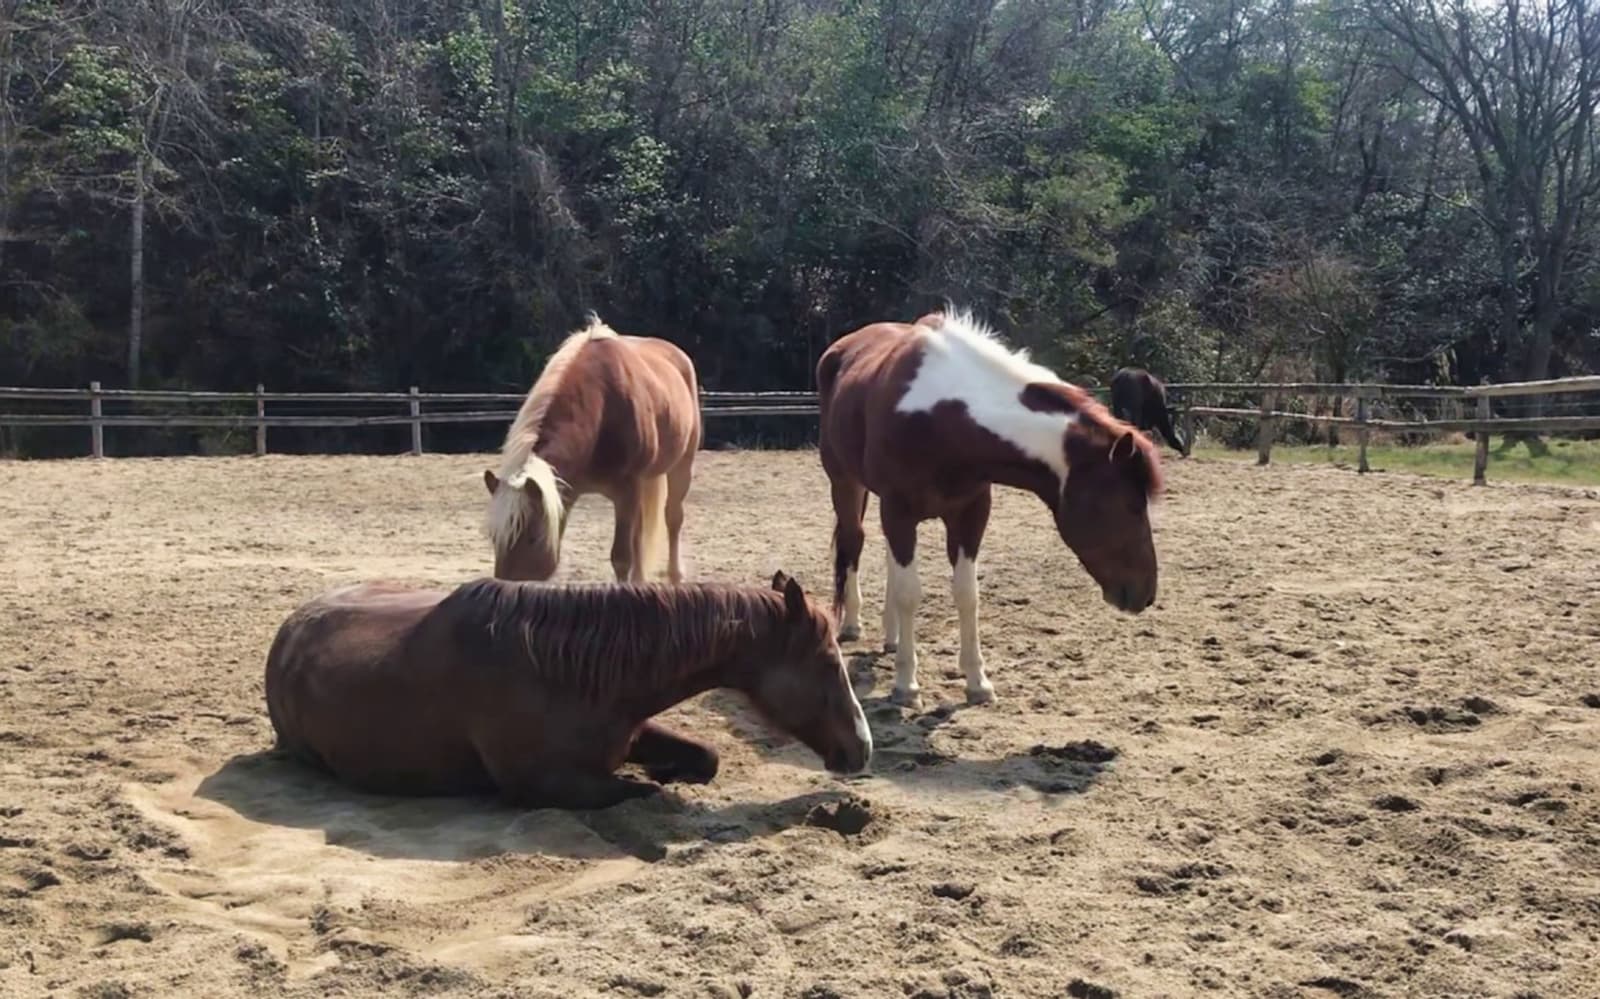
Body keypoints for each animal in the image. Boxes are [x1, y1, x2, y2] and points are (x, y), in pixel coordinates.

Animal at [264, 571, 872, 810]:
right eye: (827, 662)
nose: (863, 748)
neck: (563, 670)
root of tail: (289, 629)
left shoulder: (632, 727)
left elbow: (707, 756)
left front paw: (672, 769)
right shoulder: (546, 783)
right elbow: (639, 793)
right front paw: (659, 780)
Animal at [483, 314, 701, 583]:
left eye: (532, 538)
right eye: (494, 537)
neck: (602, 411)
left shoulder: (627, 491)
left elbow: (621, 558)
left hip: (681, 465)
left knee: (673, 517)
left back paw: (675, 575)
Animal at [817, 306, 1164, 708]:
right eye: (1130, 506)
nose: (1146, 594)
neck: (945, 418)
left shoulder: (971, 514)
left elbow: (967, 595)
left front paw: (977, 681)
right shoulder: (899, 511)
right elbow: (910, 594)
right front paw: (906, 684)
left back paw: (892, 637)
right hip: (845, 483)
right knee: (854, 541)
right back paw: (853, 624)